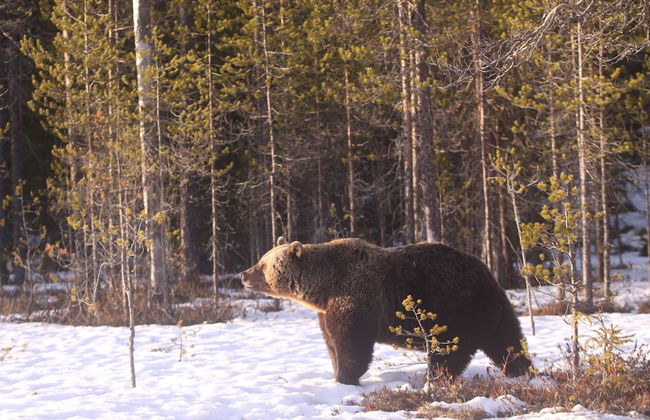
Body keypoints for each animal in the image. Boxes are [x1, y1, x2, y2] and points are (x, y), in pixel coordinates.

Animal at [240, 237, 531, 385]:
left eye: (263, 263)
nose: (243, 274)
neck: (323, 288)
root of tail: (487, 274)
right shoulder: (326, 311)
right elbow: (332, 343)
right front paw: (335, 372)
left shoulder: (356, 299)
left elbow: (352, 345)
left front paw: (345, 378)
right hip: (491, 311)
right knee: (508, 341)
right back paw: (521, 370)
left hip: (454, 309)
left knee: (447, 352)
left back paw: (432, 379)